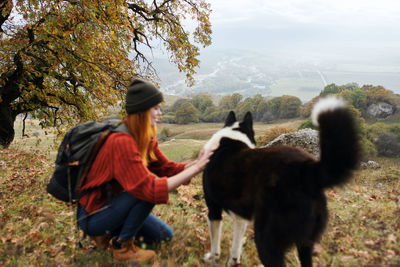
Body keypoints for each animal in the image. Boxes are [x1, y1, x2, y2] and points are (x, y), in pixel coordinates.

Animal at [202, 98, 360, 267]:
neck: (232, 138)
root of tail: (306, 170)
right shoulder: (240, 217)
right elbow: (236, 246)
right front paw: (233, 262)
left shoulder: (213, 210)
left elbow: (215, 244)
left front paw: (213, 258)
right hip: (305, 243)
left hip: (266, 238)